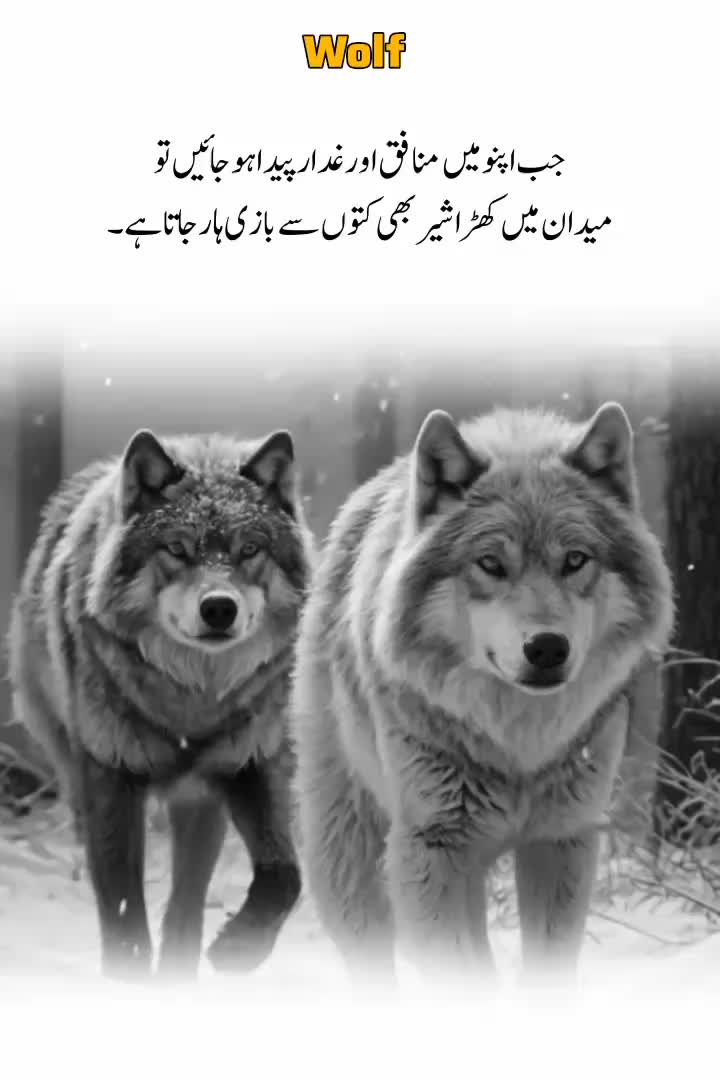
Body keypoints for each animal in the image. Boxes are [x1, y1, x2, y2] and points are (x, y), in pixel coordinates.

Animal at [9, 427, 313, 979]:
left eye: (250, 549)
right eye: (177, 548)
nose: (219, 608)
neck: (190, 702)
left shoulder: (247, 764)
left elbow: (285, 876)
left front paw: (241, 947)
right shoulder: (113, 780)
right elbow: (123, 908)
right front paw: (129, 976)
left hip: (200, 803)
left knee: (187, 900)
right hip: (79, 777)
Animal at [292, 402, 673, 981]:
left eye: (575, 560)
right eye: (491, 564)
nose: (547, 647)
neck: (519, 747)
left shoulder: (562, 841)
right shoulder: (432, 849)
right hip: (348, 857)